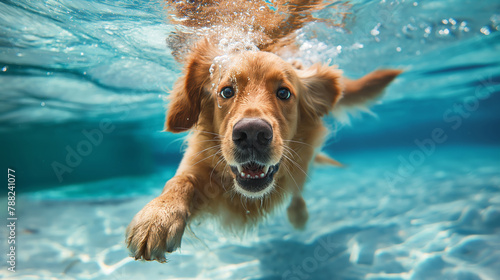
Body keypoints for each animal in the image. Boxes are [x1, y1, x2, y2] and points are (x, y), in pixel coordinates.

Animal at [126, 0, 402, 262]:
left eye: (284, 93)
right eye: (226, 91)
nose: (251, 134)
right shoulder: (197, 164)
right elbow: (179, 182)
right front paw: (157, 216)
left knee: (298, 191)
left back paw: (299, 216)